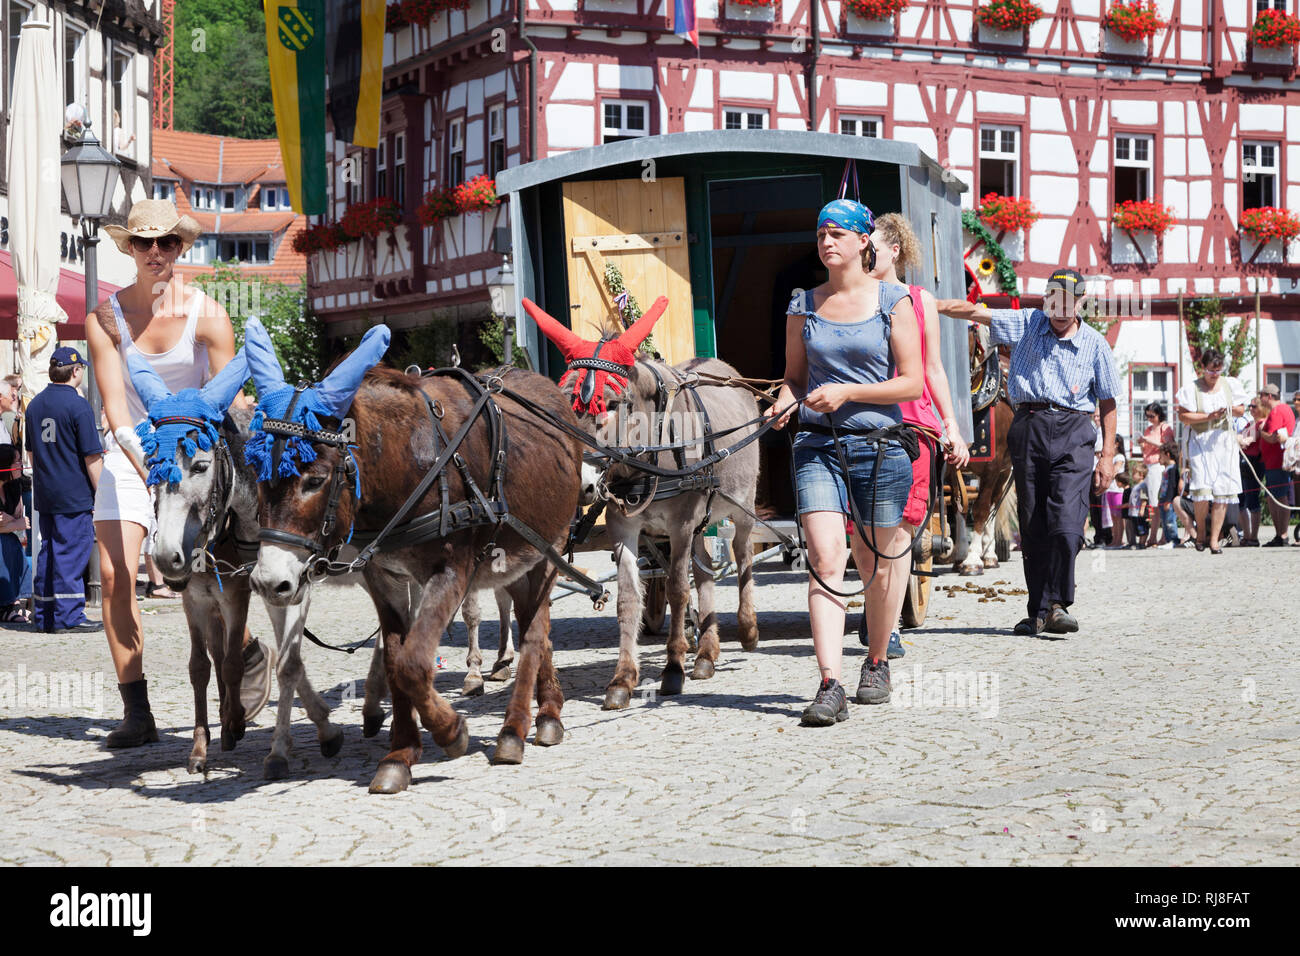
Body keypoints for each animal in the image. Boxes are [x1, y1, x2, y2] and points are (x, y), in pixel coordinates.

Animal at [122, 348, 343, 780]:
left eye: (200, 467)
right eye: (152, 466)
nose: (165, 557)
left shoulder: (245, 593)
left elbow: (238, 662)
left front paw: (240, 723)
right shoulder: (196, 598)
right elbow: (200, 666)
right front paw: (200, 747)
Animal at [241, 317, 587, 796]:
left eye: (314, 480)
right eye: (256, 473)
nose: (268, 582)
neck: (410, 462)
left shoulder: (452, 573)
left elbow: (412, 662)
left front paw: (451, 731)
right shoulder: (384, 579)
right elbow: (394, 660)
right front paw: (400, 754)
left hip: (545, 554)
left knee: (535, 636)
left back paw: (513, 731)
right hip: (519, 561)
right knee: (540, 627)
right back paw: (549, 711)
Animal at [520, 297, 759, 712]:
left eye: (613, 403)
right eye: (565, 399)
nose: (581, 482)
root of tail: (725, 371)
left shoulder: (680, 525)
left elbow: (678, 590)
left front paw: (673, 669)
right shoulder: (626, 527)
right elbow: (629, 598)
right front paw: (622, 680)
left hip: (741, 506)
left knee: (743, 555)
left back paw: (747, 629)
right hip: (701, 522)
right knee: (706, 571)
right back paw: (707, 654)